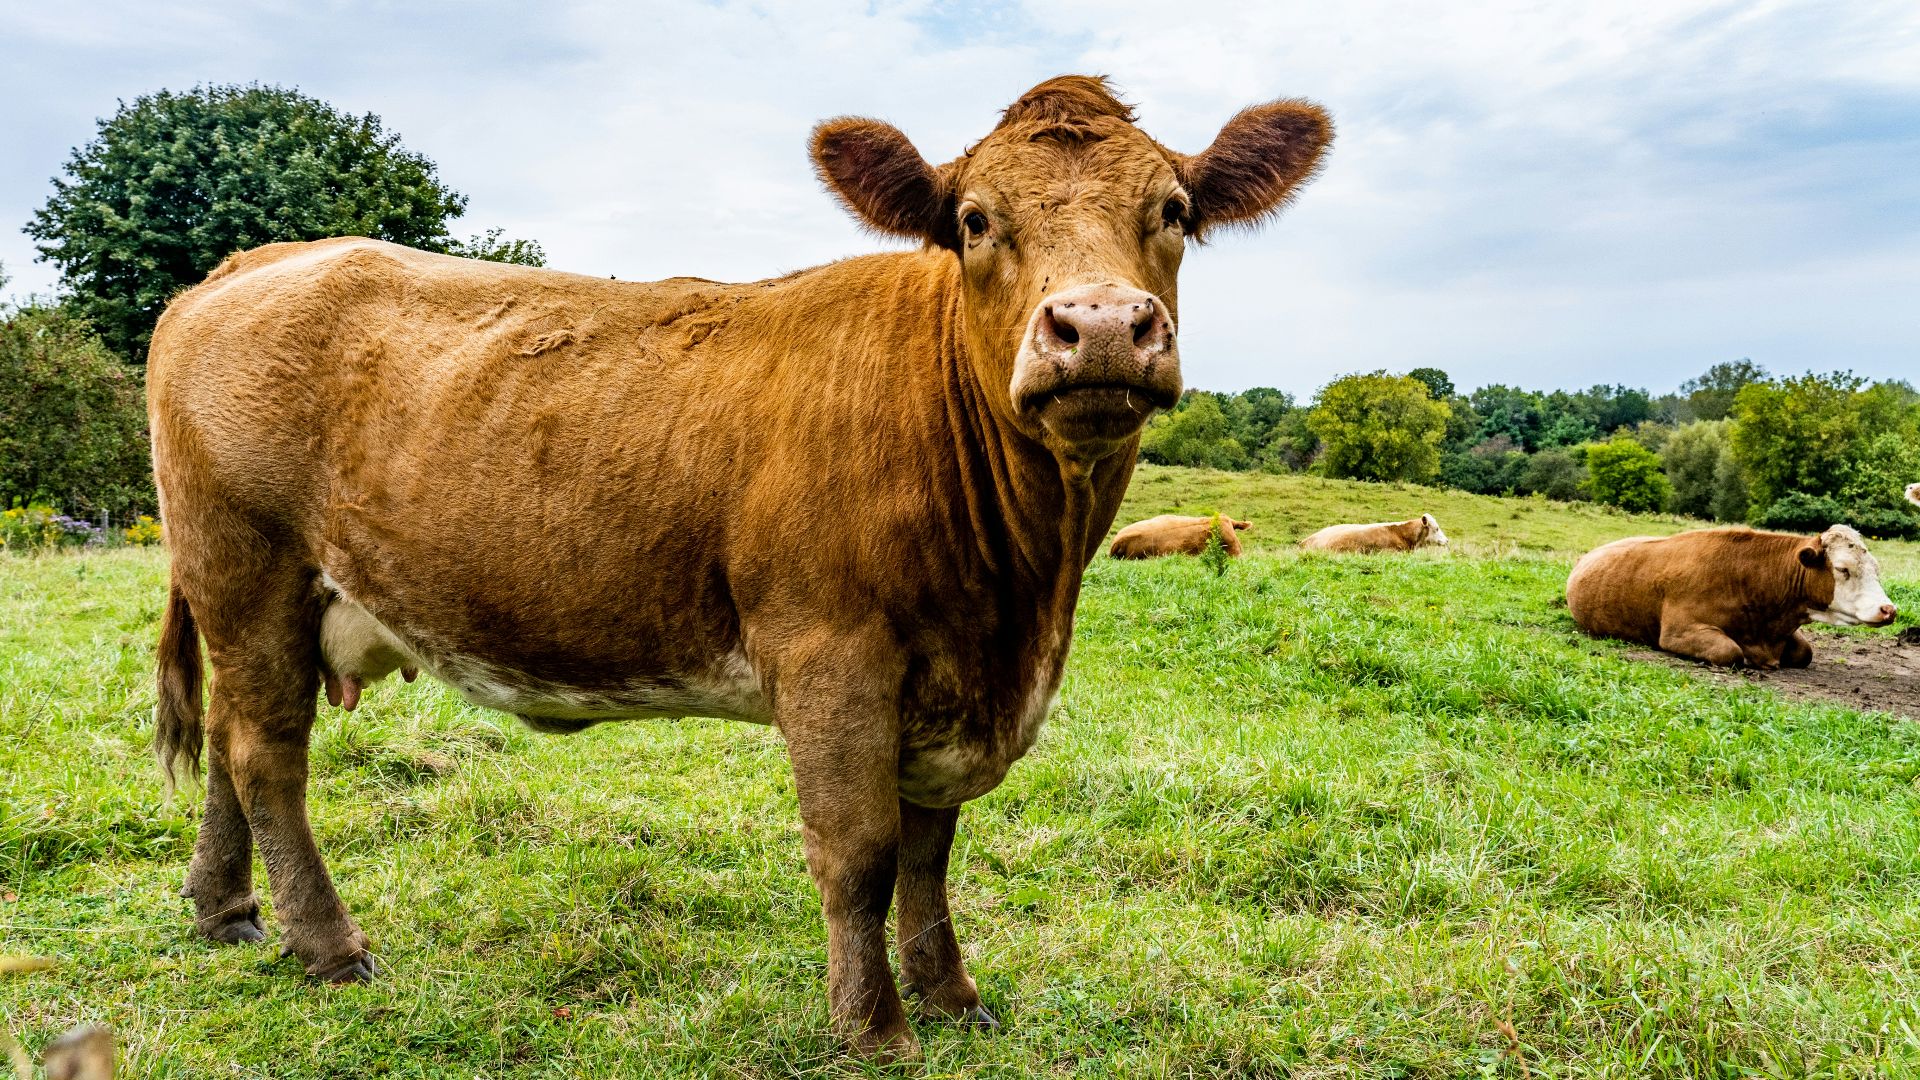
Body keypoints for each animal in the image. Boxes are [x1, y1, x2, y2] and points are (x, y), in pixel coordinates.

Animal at [1565, 525, 1896, 668]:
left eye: (1876, 568)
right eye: (1843, 569)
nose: (1888, 609)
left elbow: (1805, 652)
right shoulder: (1678, 631)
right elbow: (1731, 652)